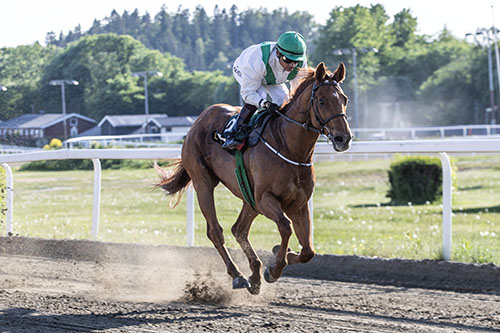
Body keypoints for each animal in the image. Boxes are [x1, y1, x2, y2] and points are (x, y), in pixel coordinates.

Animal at [156, 62, 352, 294]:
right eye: (322, 101)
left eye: (344, 99)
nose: (343, 138)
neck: (288, 146)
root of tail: (200, 119)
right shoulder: (265, 198)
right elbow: (285, 226)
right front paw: (274, 268)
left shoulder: (299, 204)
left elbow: (308, 251)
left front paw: (279, 255)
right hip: (204, 183)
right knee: (216, 231)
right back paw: (238, 276)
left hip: (248, 196)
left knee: (239, 229)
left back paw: (255, 274)